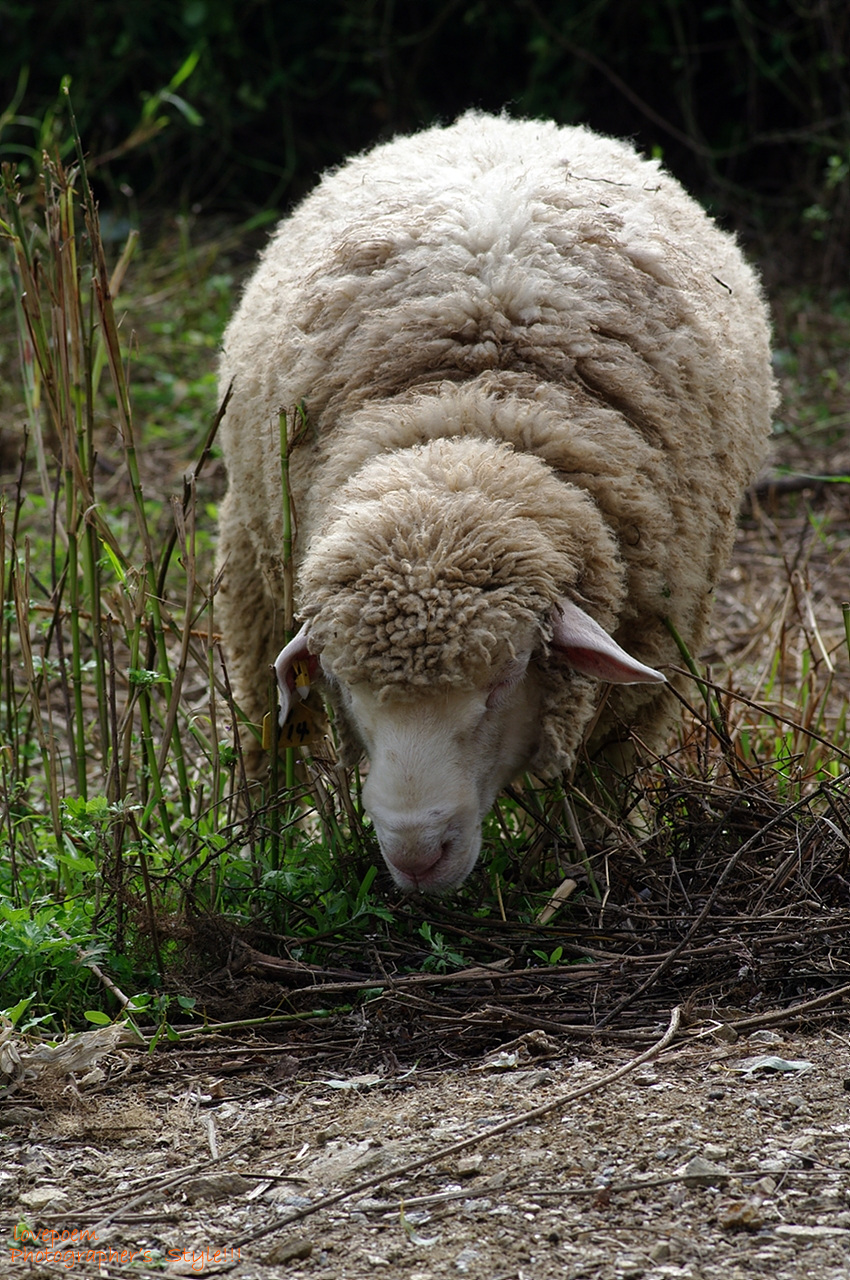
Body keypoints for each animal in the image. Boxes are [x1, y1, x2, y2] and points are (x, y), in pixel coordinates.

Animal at [213, 110, 778, 890]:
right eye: (343, 684)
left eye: (506, 678)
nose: (417, 855)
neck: (471, 422)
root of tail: (501, 121)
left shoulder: (656, 647)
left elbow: (600, 783)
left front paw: (584, 869)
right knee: (264, 736)